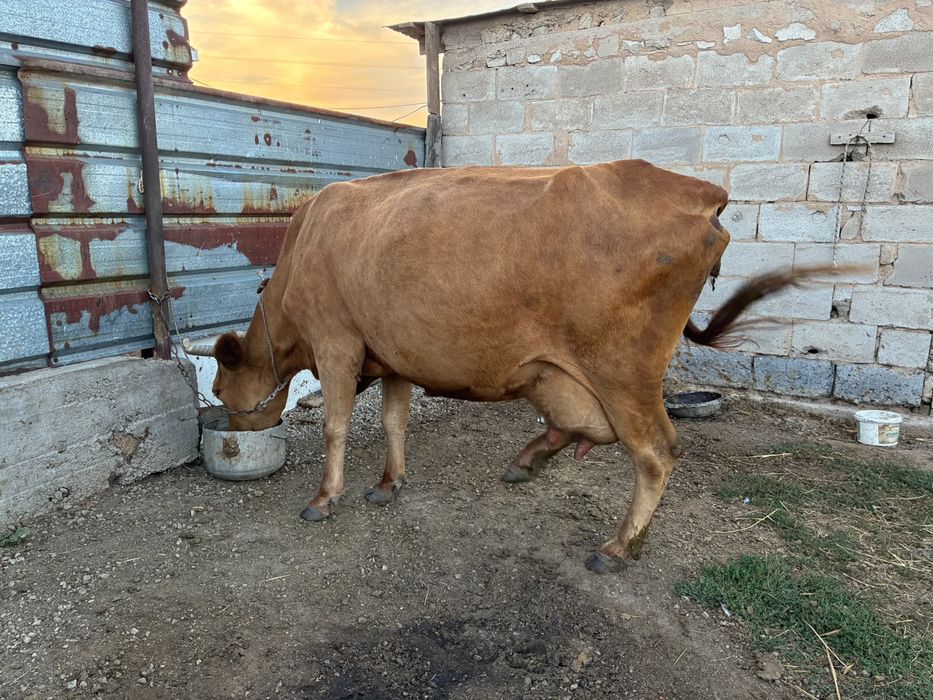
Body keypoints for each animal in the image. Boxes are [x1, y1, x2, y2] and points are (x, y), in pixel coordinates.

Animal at [185, 159, 823, 573]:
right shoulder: (393, 355)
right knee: (583, 427)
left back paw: (619, 547)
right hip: (569, 373)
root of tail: (699, 192)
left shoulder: (337, 343)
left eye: (221, 387)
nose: (231, 431)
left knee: (656, 451)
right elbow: (393, 422)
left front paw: (324, 498)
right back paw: (531, 459)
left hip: (623, 369)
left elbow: (335, 427)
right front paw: (388, 484)